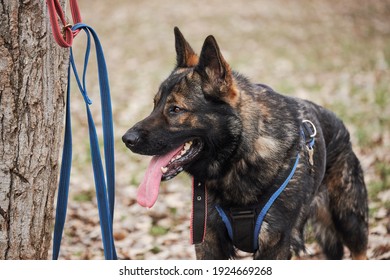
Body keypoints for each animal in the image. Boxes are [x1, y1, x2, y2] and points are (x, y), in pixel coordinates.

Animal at [122, 27, 368, 260]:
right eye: (155, 104)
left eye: (175, 109)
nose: (126, 139)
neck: (238, 157)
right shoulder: (209, 242)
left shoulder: (274, 245)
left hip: (350, 223)